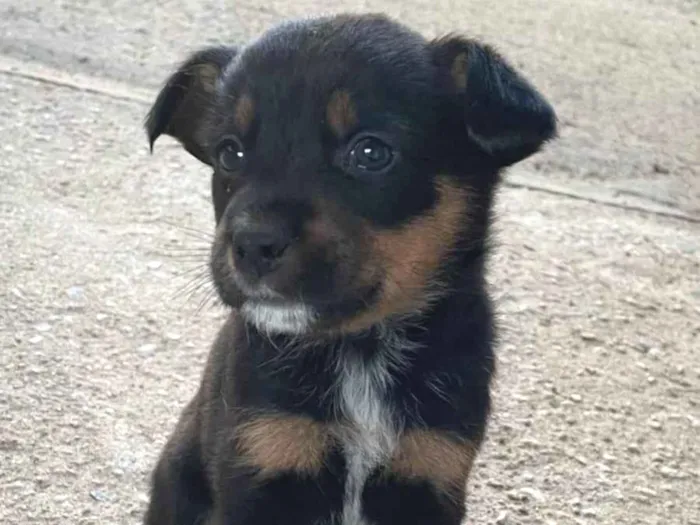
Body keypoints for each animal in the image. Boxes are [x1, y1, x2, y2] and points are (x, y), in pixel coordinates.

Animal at [144, 11, 556, 524]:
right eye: (229, 153)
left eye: (370, 152)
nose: (252, 244)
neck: (361, 350)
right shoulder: (262, 456)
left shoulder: (431, 467)